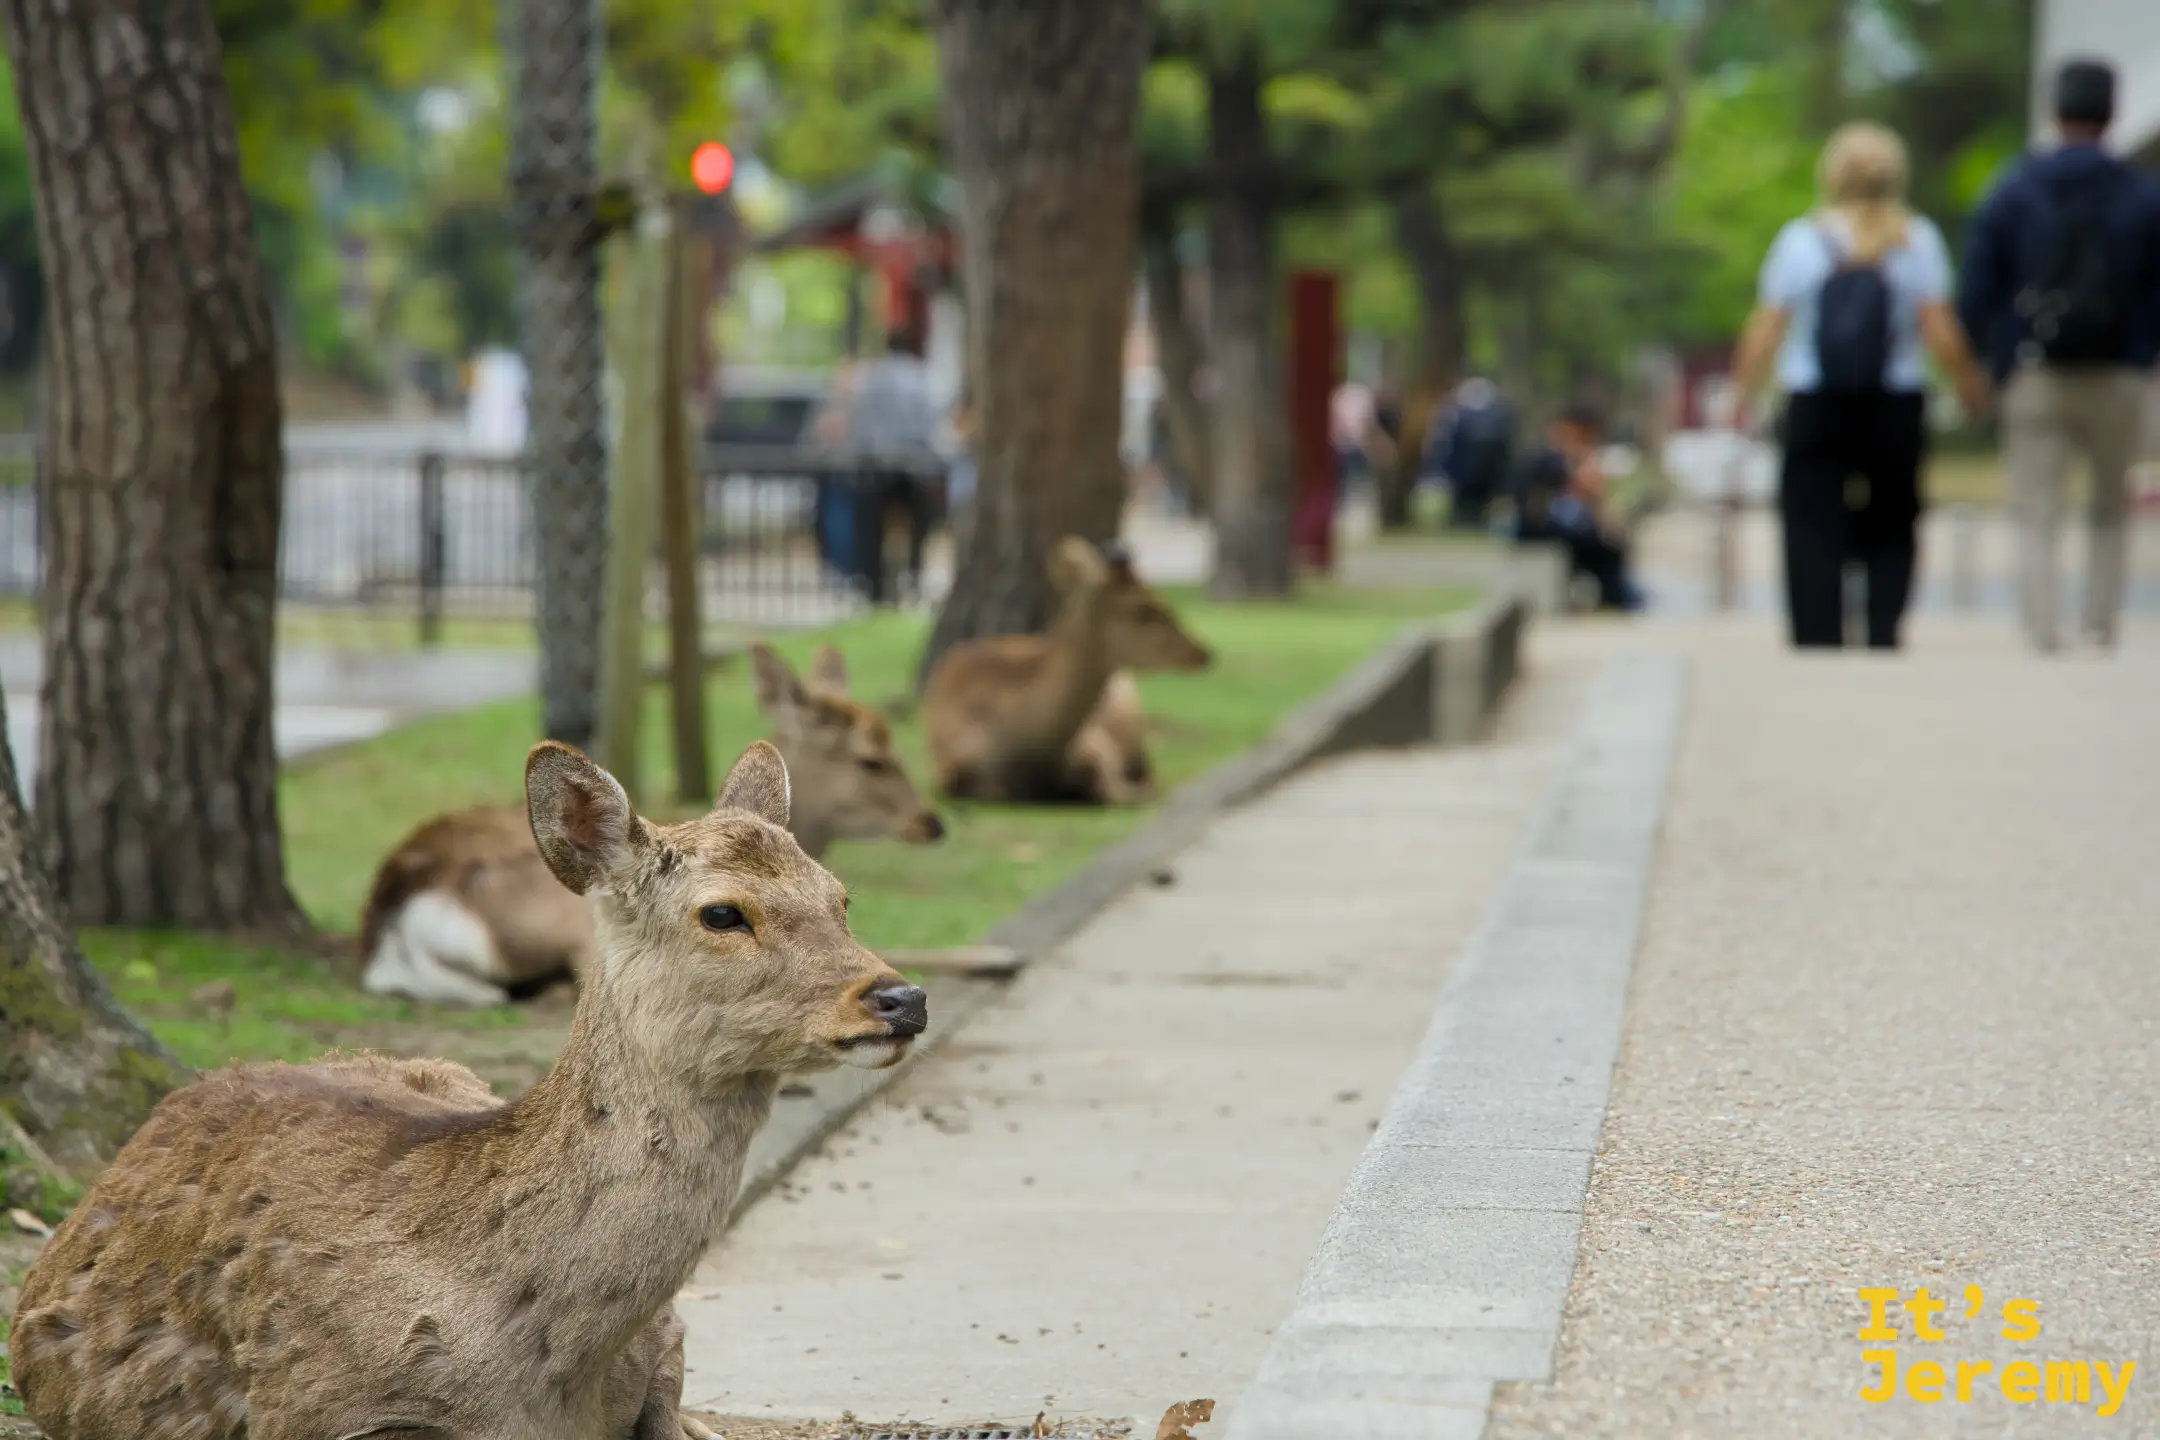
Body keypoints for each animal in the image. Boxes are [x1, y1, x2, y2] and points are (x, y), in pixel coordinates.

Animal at [9, 740, 927, 1440]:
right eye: (723, 913)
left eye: (841, 896)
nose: (901, 996)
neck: (546, 1386)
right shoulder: (317, 1410)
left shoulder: (668, 1345)